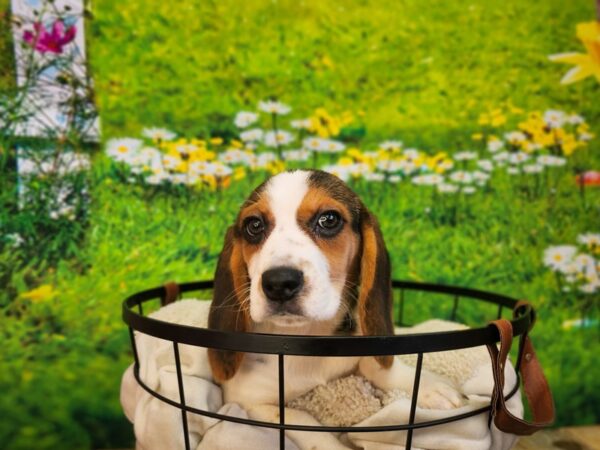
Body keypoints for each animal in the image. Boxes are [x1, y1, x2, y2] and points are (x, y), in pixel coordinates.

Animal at [207, 170, 464, 414]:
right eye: (254, 225)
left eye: (329, 219)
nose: (279, 283)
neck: (304, 337)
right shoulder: (246, 404)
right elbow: (299, 418)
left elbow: (379, 366)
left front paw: (427, 386)